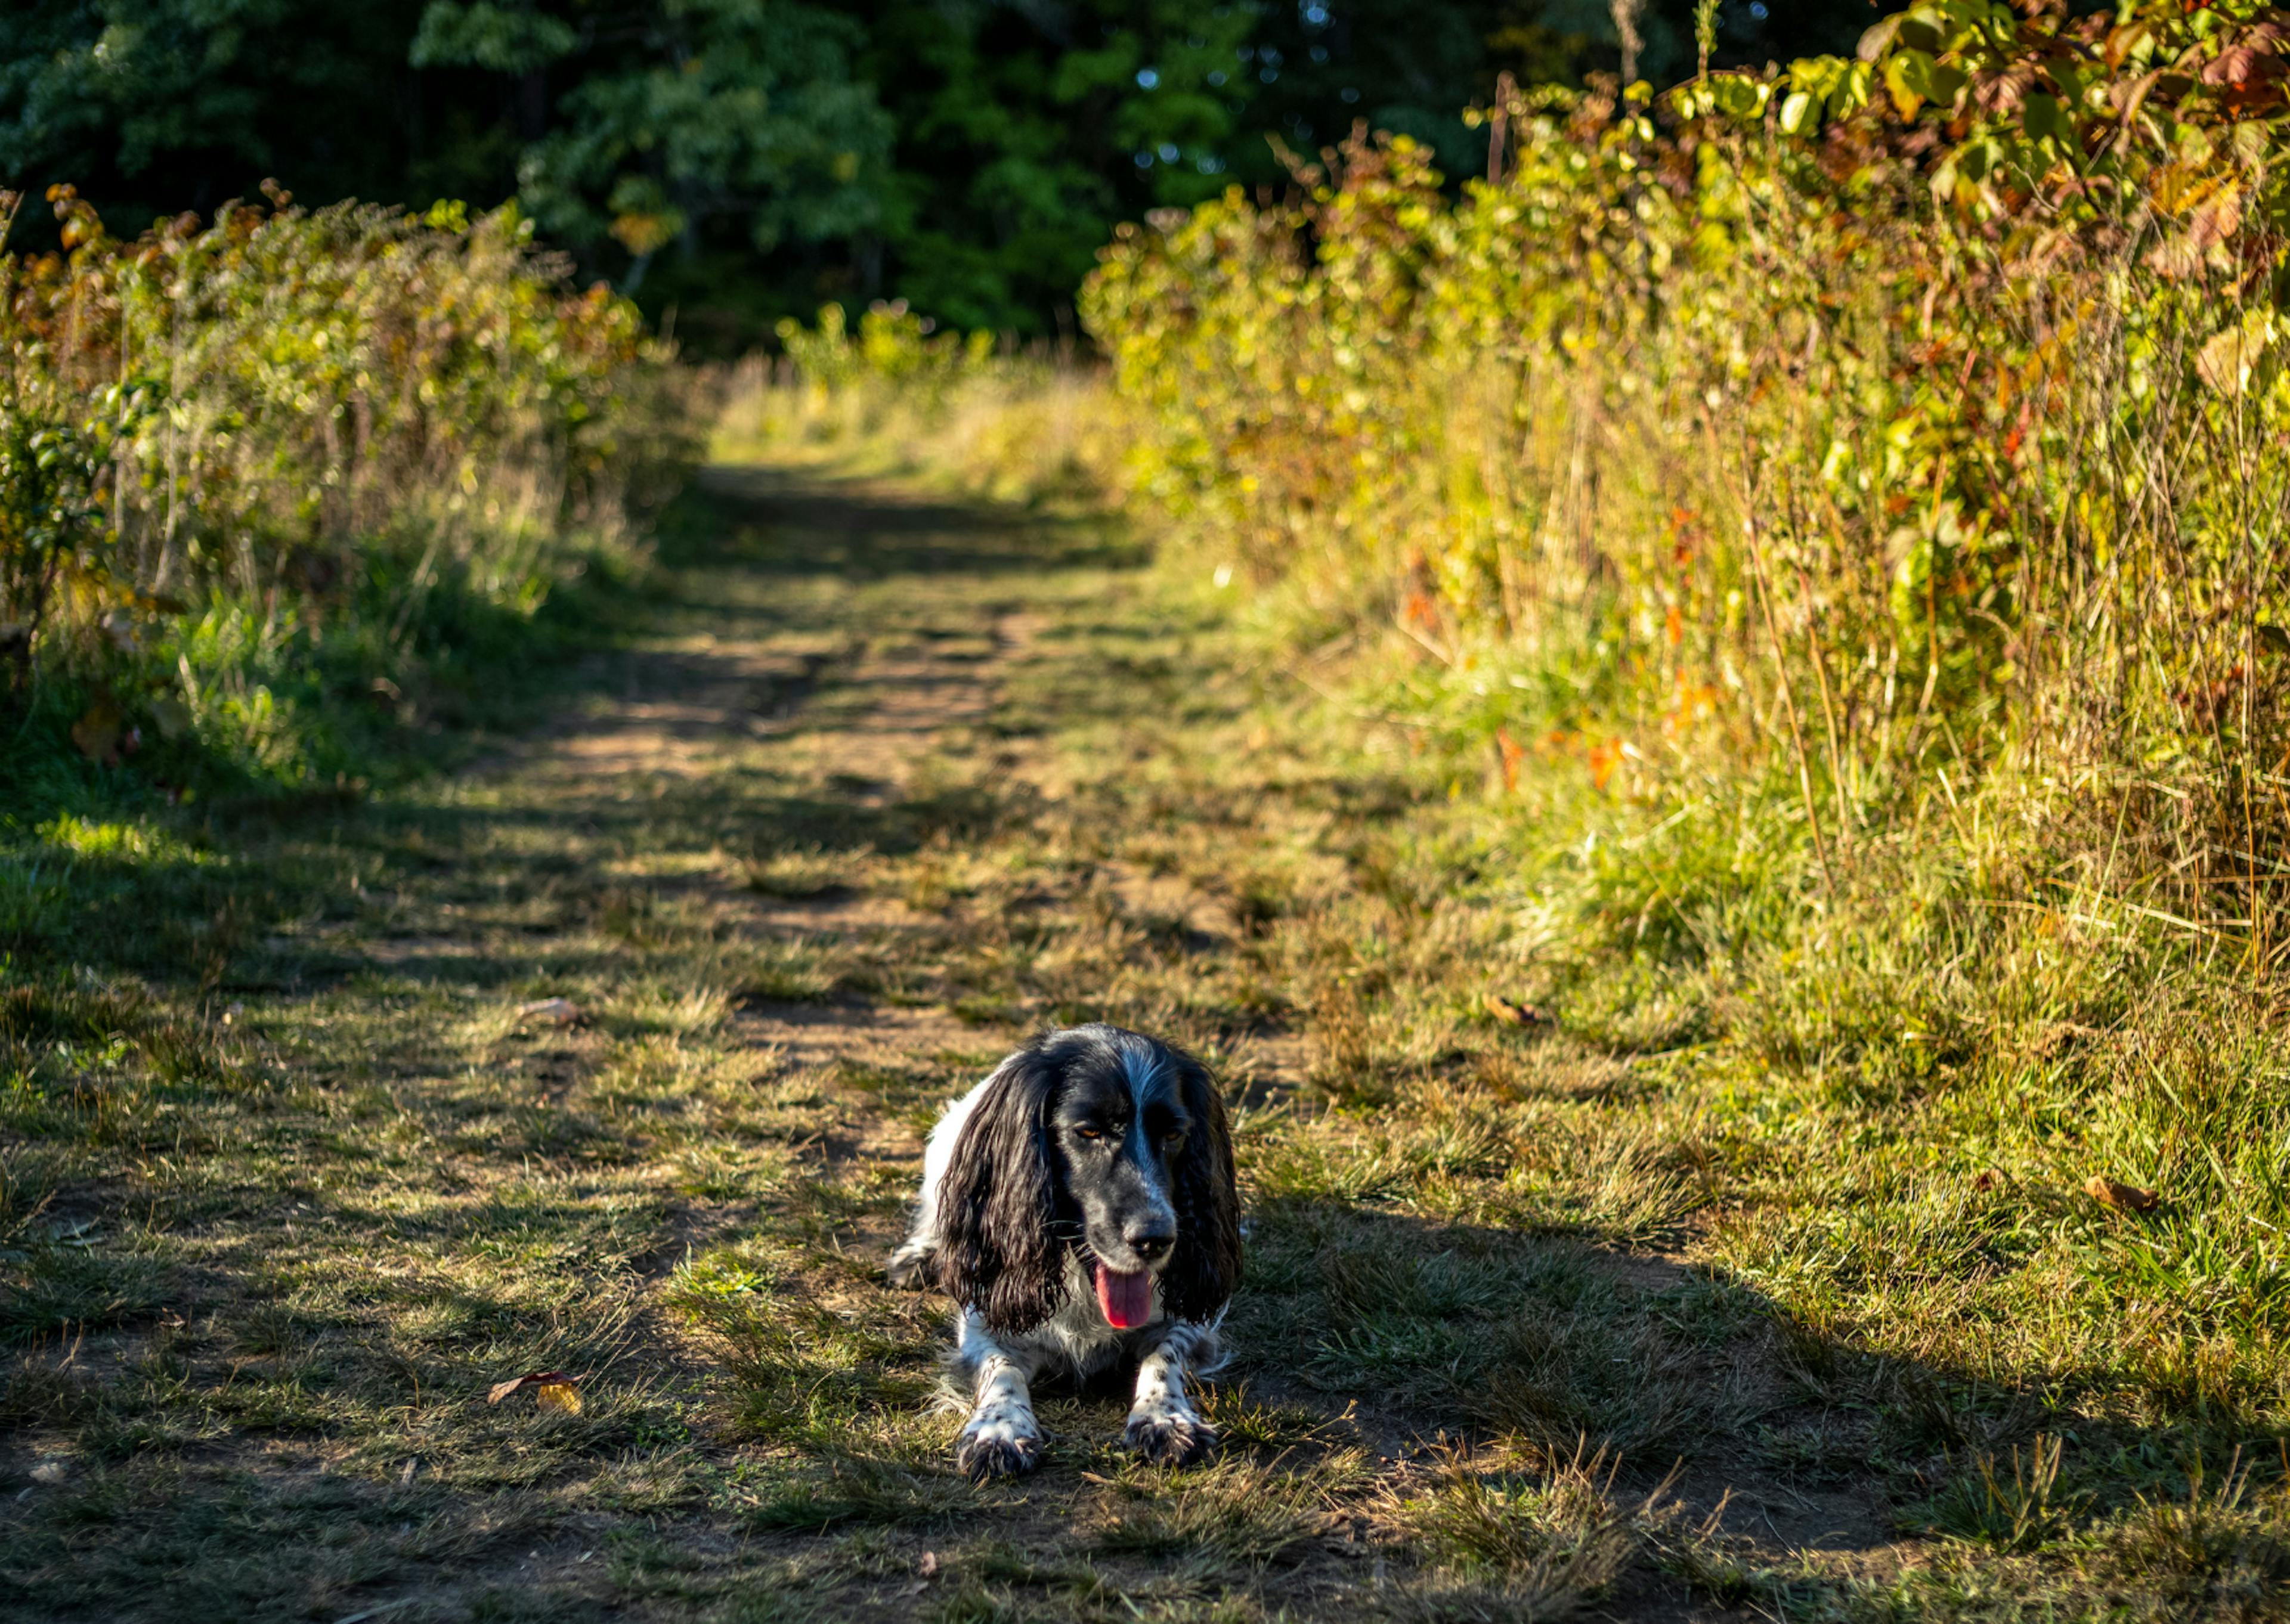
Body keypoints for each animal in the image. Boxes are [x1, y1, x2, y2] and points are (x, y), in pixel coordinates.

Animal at [884, 1026, 1245, 1484]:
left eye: (1174, 1134)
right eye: (1088, 1132)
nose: (1155, 1239)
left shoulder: (1188, 1318)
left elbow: (1164, 1356)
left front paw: (1164, 1417)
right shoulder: (985, 1321)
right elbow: (1001, 1369)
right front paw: (1000, 1429)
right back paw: (922, 1255)